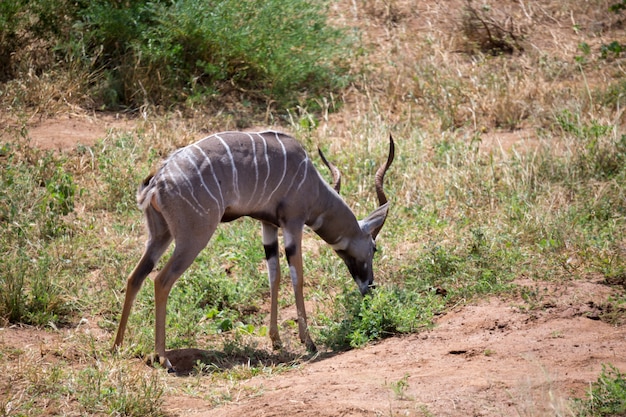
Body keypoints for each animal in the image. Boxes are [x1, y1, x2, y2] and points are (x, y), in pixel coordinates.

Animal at [112, 130, 392, 370]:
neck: (312, 185)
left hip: (159, 236)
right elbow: (297, 277)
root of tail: (157, 180)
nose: (369, 286)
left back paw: (117, 346)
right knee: (161, 280)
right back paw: (163, 358)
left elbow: (274, 276)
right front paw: (309, 342)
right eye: (374, 248)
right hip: (192, 238)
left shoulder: (268, 225)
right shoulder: (293, 223)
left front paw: (276, 339)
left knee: (135, 277)